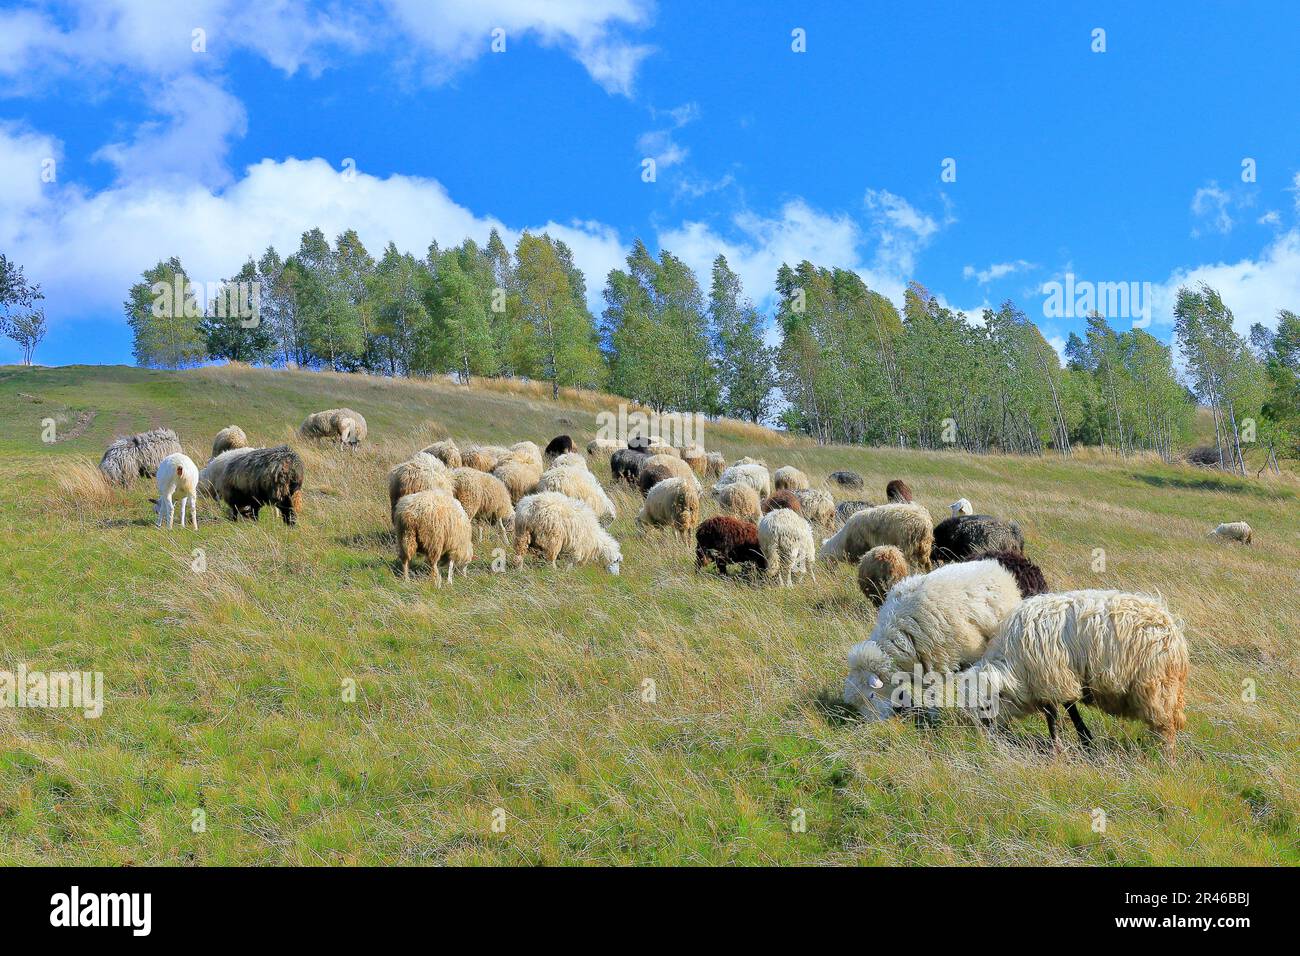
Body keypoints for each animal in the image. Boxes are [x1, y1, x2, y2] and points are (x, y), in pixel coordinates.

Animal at [965, 590, 1189, 756]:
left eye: (986, 706)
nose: (987, 739)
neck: (1014, 663)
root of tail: (1171, 628)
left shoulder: (1052, 678)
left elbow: (1054, 714)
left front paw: (1059, 747)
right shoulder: (1059, 678)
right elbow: (1069, 708)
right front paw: (1085, 739)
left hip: (1157, 685)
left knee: (1166, 724)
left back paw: (1166, 757)